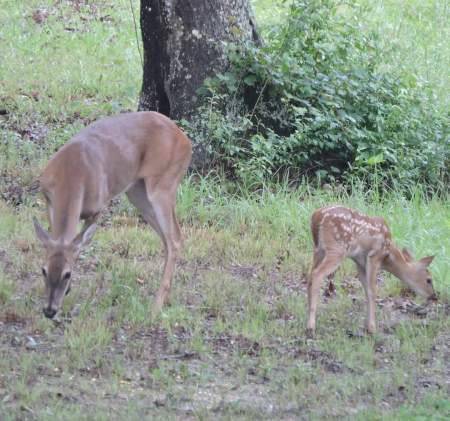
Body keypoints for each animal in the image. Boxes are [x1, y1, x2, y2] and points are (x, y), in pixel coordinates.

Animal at [33, 111, 192, 318]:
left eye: (67, 274)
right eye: (43, 270)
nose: (49, 311)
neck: (71, 173)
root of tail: (186, 141)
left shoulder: (97, 208)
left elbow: (80, 245)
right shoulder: (48, 200)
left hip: (163, 186)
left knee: (175, 238)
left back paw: (155, 307)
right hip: (137, 191)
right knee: (166, 239)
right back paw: (166, 298)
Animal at [306, 204, 436, 334]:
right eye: (429, 280)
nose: (434, 296)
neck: (388, 255)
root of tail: (317, 216)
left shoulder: (359, 262)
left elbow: (367, 290)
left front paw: (366, 325)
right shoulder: (374, 256)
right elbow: (373, 291)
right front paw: (372, 328)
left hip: (318, 249)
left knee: (310, 276)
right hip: (337, 247)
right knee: (317, 273)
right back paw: (311, 326)